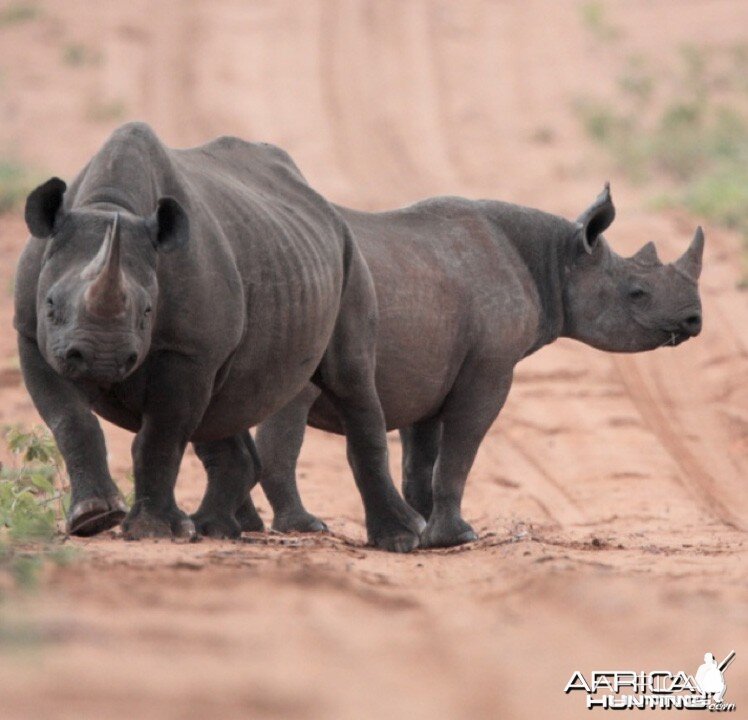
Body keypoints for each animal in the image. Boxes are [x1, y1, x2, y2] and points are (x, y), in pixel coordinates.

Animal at [17, 122, 424, 552]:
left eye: (147, 312)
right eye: (49, 304)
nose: (103, 359)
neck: (109, 206)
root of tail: (322, 203)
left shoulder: (189, 351)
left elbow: (160, 436)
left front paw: (153, 531)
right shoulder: (33, 338)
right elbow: (71, 421)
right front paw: (92, 517)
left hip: (349, 257)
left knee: (351, 382)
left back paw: (400, 539)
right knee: (227, 406)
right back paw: (214, 528)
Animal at [226, 183, 700, 548]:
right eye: (637, 293)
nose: (695, 320)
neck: (556, 260)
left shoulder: (429, 370)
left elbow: (422, 460)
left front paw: (426, 531)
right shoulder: (488, 371)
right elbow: (459, 451)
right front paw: (456, 537)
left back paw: (244, 525)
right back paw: (305, 528)